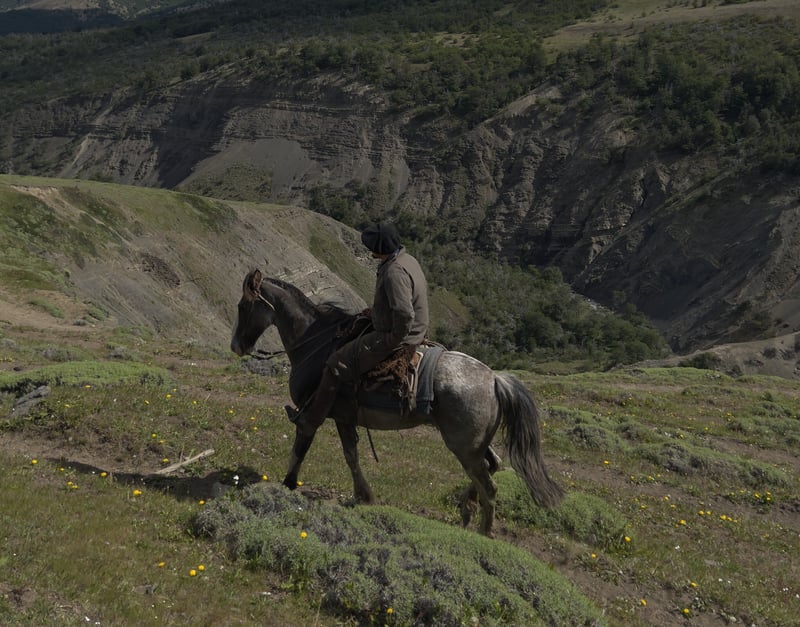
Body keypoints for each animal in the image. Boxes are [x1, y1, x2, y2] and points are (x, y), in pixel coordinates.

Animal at [228, 270, 564, 536]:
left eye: (243, 305)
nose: (236, 346)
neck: (314, 343)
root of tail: (495, 378)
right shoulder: (345, 417)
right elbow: (351, 455)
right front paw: (363, 495)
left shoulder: (315, 413)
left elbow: (303, 442)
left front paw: (288, 483)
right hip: (474, 444)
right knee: (492, 466)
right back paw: (466, 509)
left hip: (464, 446)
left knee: (489, 485)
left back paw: (483, 532)